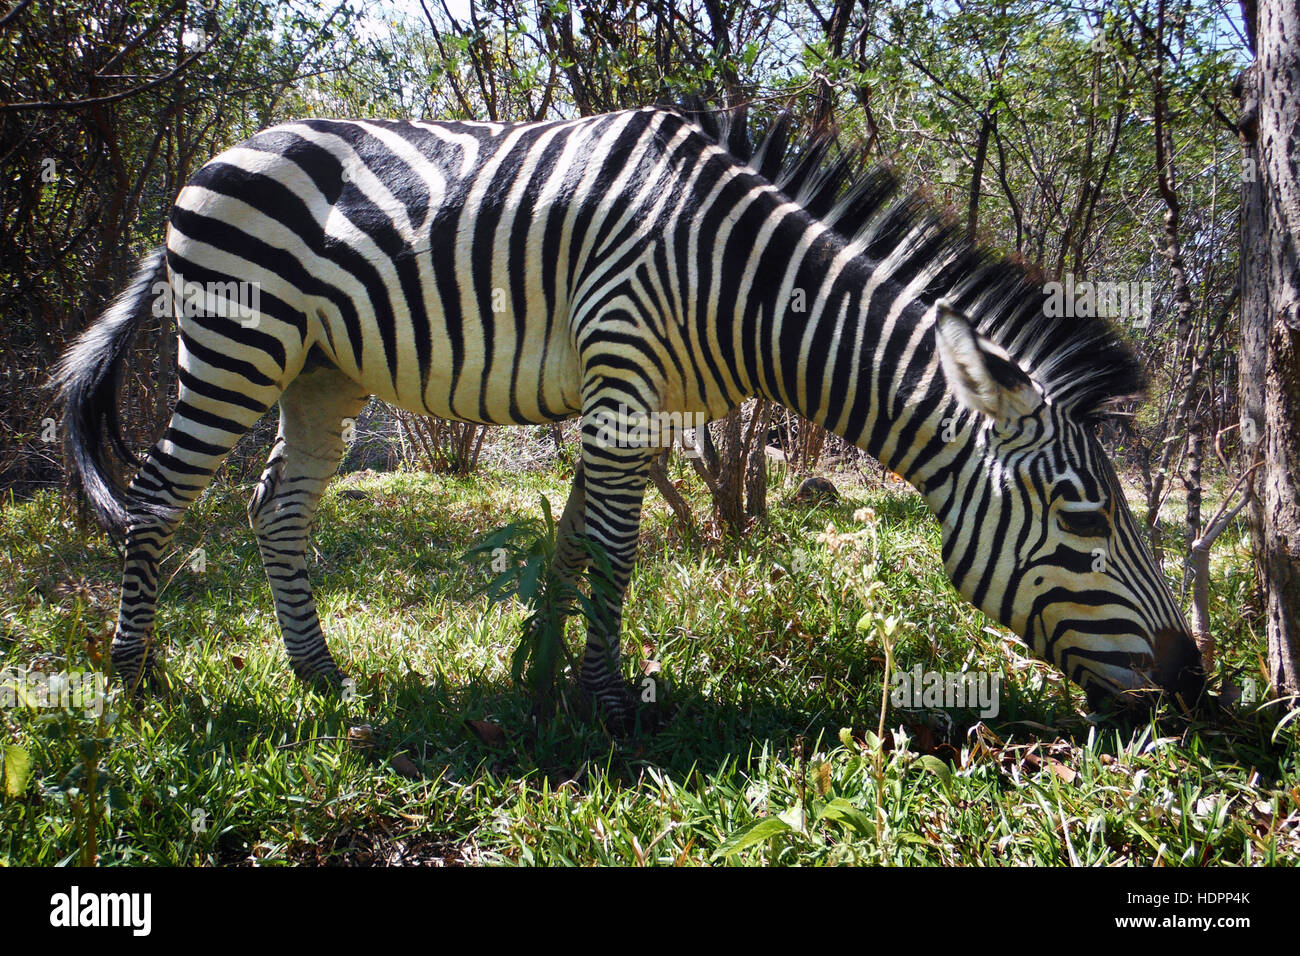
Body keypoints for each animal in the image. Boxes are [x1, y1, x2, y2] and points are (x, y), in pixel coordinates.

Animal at [53, 100, 1206, 723]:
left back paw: (321, 675)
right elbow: (614, 546)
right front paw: (608, 705)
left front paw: (541, 682)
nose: (1196, 683)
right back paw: (134, 679)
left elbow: (573, 542)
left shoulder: (636, 398)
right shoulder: (621, 370)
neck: (739, 281)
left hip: (319, 369)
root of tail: (215, 159)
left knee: (279, 511)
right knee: (156, 493)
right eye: (1086, 519)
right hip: (236, 343)